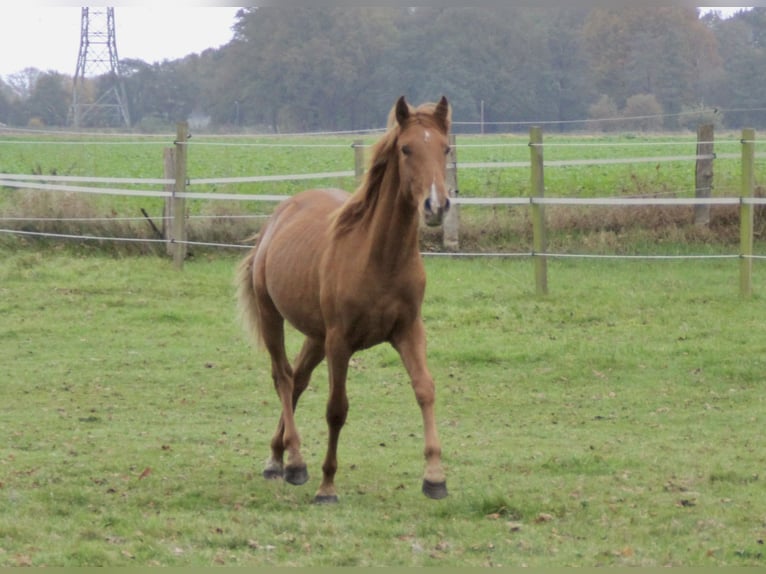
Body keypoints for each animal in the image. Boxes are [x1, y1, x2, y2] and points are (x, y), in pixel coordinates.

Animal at [236, 97, 450, 506]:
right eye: (406, 149)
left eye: (446, 149)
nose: (436, 206)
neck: (379, 258)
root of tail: (278, 216)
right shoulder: (340, 342)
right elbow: (336, 409)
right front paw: (327, 486)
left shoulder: (409, 332)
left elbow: (426, 390)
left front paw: (435, 477)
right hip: (275, 318)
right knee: (283, 377)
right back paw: (296, 461)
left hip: (315, 336)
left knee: (298, 380)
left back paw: (276, 459)